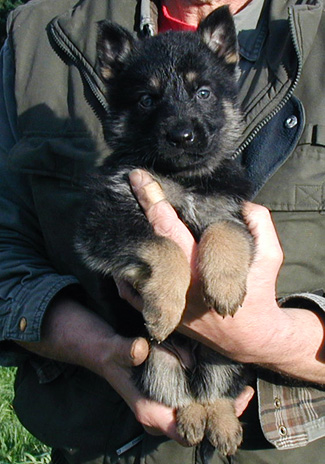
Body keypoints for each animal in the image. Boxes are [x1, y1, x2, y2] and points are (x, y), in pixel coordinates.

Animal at [76, 6, 253, 456]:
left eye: (203, 93)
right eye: (147, 99)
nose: (182, 136)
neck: (181, 178)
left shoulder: (235, 212)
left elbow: (224, 232)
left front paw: (224, 285)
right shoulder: (105, 220)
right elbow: (163, 245)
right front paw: (165, 308)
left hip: (228, 353)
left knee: (214, 389)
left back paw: (221, 421)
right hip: (154, 360)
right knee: (179, 393)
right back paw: (192, 418)